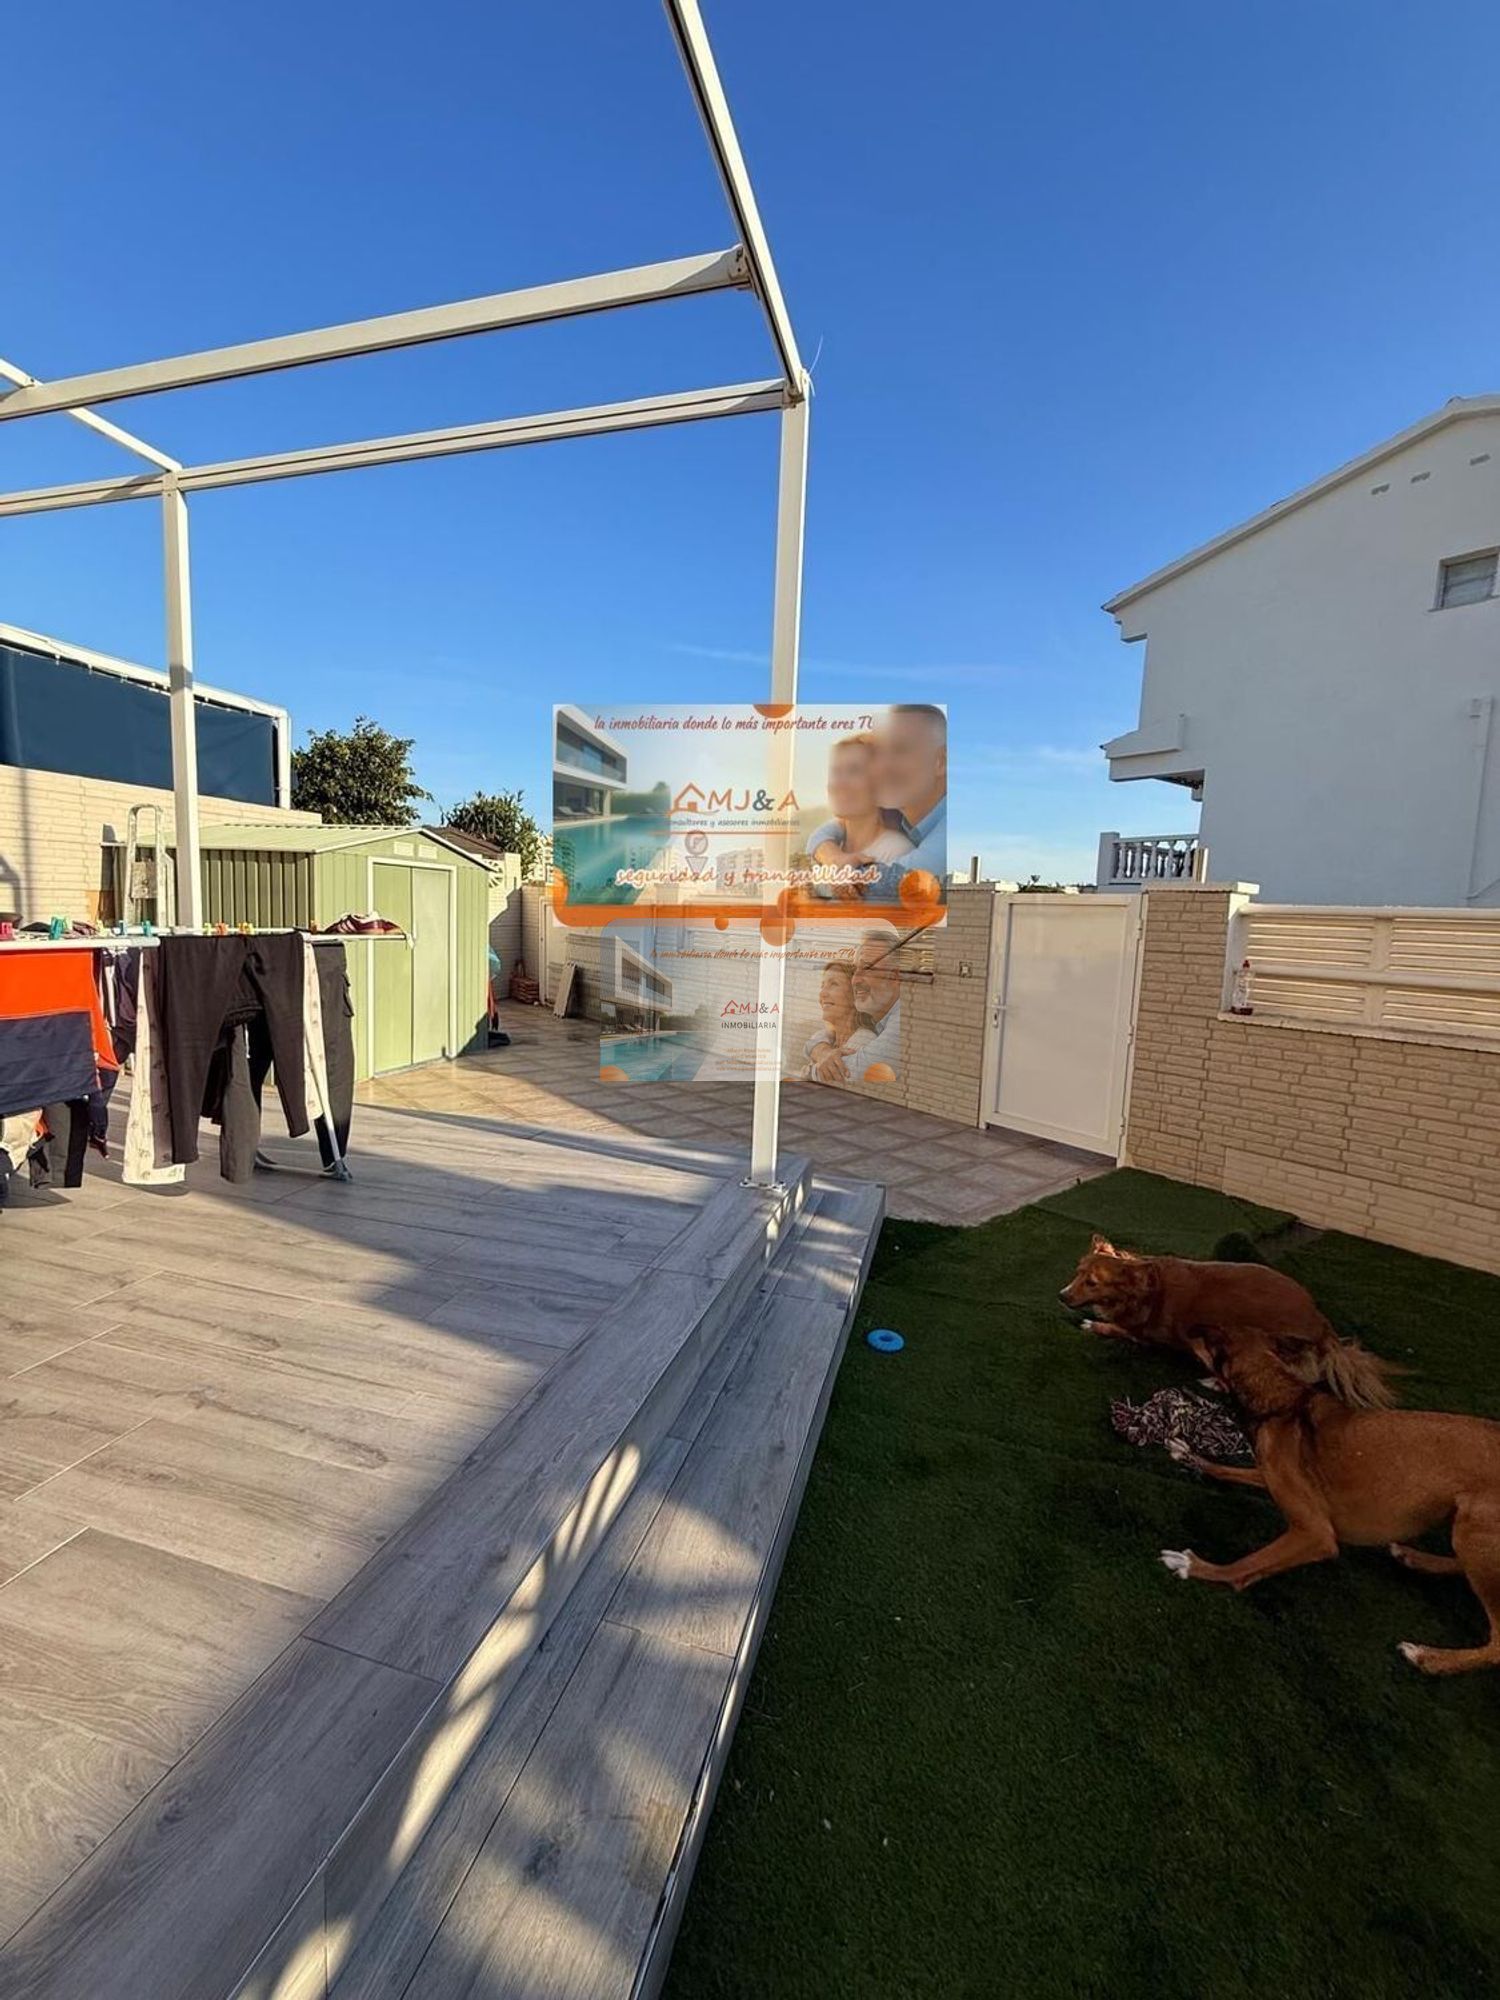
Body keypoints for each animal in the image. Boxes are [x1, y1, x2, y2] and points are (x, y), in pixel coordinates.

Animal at [1058, 1235, 1341, 1369]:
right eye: (1077, 1273)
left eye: (1092, 1283)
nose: (1061, 1295)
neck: (1148, 1291)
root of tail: (1320, 1319)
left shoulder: (1147, 1336)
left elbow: (1119, 1329)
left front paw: (1092, 1324)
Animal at [1160, 1330, 1500, 1676]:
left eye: (1209, 1339)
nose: (1188, 1332)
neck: (1287, 1402)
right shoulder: (1270, 1474)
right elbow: (1231, 1470)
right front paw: (1192, 1458)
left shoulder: (1315, 1534)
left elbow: (1247, 1564)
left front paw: (1195, 1566)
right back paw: (1414, 1558)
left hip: (1474, 1530)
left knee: (1496, 1646)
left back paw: (1428, 1657)